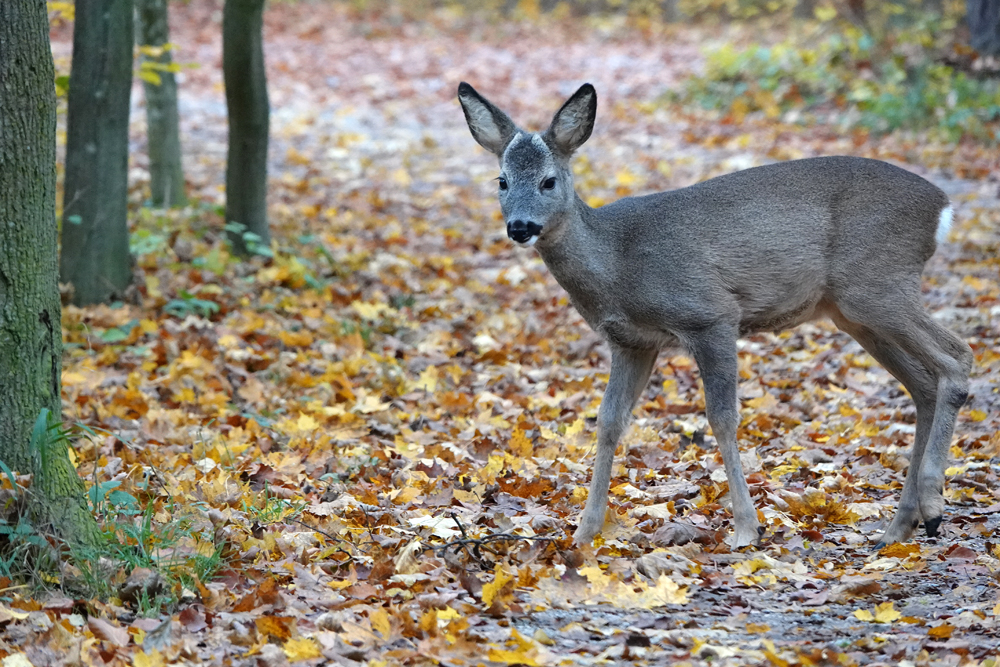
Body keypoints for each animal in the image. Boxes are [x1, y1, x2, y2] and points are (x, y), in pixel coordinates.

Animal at [458, 82, 968, 548]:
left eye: (548, 181)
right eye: (502, 181)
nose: (520, 226)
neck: (618, 262)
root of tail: (942, 208)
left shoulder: (710, 314)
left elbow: (721, 417)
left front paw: (746, 528)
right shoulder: (632, 341)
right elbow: (608, 422)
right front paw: (585, 532)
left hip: (876, 284)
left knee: (958, 356)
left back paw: (933, 504)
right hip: (854, 312)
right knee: (923, 384)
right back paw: (901, 526)